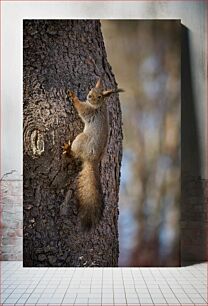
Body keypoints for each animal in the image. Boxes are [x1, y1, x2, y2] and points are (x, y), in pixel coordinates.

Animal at [62, 77, 122, 231]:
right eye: (91, 89)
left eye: (99, 96)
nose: (89, 96)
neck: (99, 105)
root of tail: (92, 160)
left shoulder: (89, 111)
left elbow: (81, 108)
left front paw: (74, 97)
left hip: (81, 140)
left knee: (75, 153)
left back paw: (68, 150)